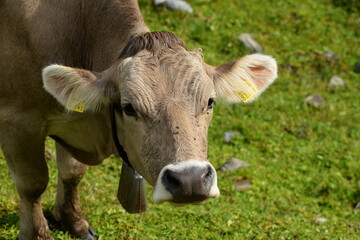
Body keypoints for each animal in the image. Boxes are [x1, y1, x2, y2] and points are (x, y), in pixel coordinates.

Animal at [0, 0, 278, 240]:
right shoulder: (17, 121)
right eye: (129, 108)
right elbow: (33, 185)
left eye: (210, 102)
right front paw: (36, 234)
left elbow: (72, 172)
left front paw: (73, 221)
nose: (190, 180)